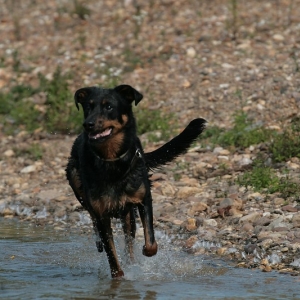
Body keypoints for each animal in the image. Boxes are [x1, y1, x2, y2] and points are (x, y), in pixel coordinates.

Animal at [66, 84, 206, 276]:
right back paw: (99, 242)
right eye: (88, 107)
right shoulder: (102, 214)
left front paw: (144, 253)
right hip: (76, 183)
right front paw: (118, 274)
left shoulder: (143, 199)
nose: (88, 124)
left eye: (109, 106)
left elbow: (151, 242)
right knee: (92, 217)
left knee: (129, 239)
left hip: (127, 215)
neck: (112, 160)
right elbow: (112, 255)